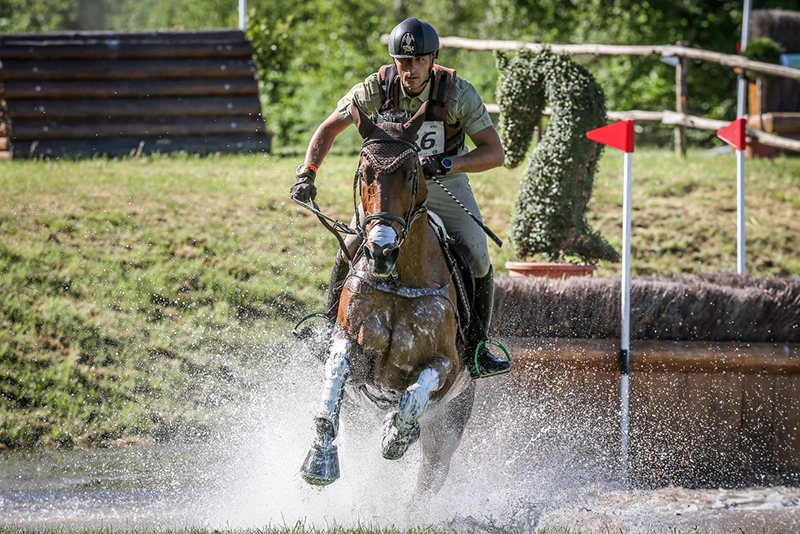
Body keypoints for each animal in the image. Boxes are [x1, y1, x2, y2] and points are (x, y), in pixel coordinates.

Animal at [300, 102, 476, 496]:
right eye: (365, 173)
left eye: (412, 174)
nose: (381, 250)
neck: (399, 279)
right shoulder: (355, 354)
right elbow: (336, 371)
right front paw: (319, 460)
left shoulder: (447, 366)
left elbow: (413, 394)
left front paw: (397, 434)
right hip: (360, 418)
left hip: (450, 427)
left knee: (428, 478)